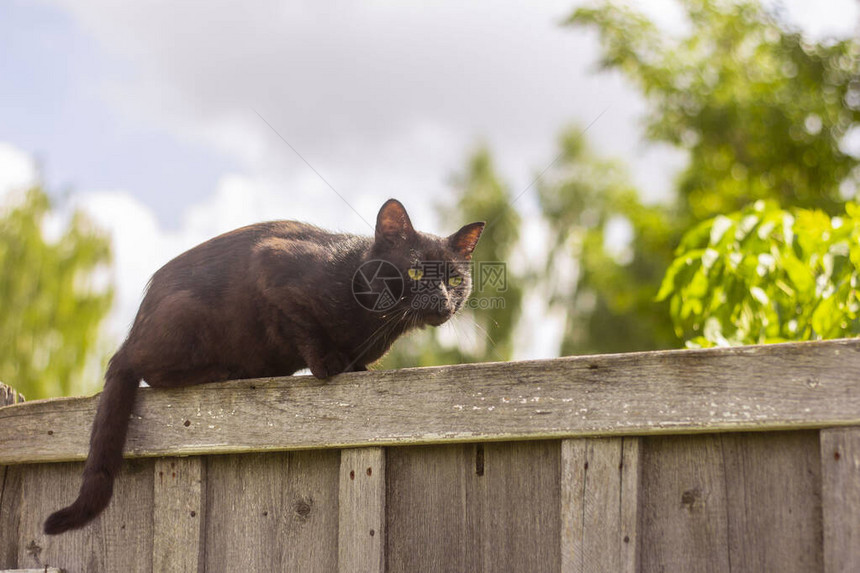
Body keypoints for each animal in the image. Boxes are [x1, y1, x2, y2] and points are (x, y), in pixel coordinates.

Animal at [45, 199, 484, 536]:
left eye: (454, 279)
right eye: (415, 271)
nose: (442, 300)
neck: (377, 321)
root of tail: (134, 329)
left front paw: (357, 370)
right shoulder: (273, 265)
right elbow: (303, 328)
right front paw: (329, 365)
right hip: (183, 318)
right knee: (146, 369)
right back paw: (222, 372)